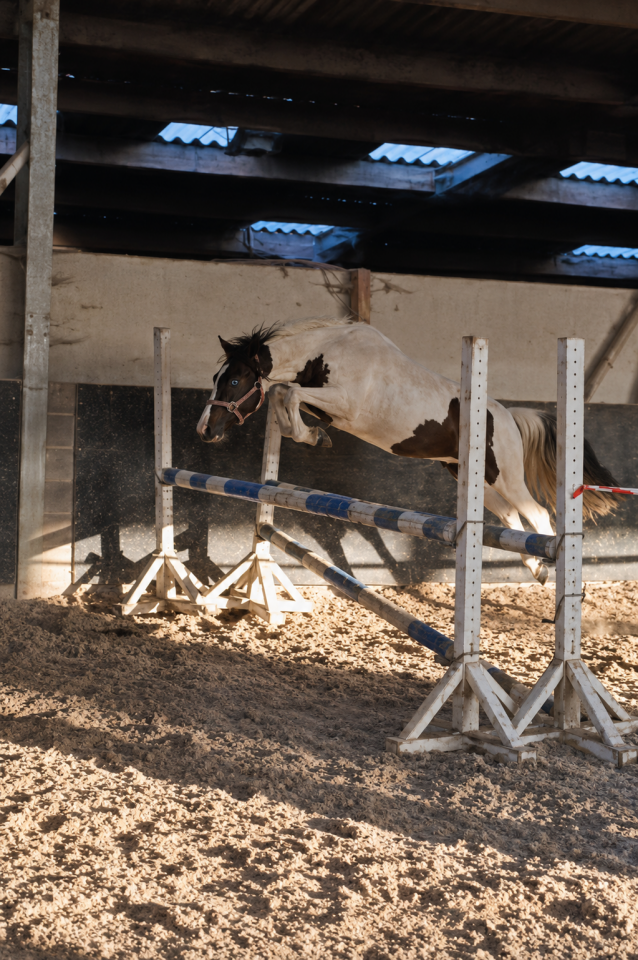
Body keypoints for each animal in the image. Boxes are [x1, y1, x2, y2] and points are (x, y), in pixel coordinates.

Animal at [196, 317, 619, 584]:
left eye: (234, 380)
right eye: (216, 377)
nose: (205, 431)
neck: (328, 352)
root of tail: (508, 417)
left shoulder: (344, 404)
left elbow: (288, 391)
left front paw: (313, 436)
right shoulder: (326, 405)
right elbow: (286, 396)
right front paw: (312, 435)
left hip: (506, 476)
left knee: (538, 515)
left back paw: (551, 571)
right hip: (472, 477)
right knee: (511, 519)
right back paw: (536, 569)